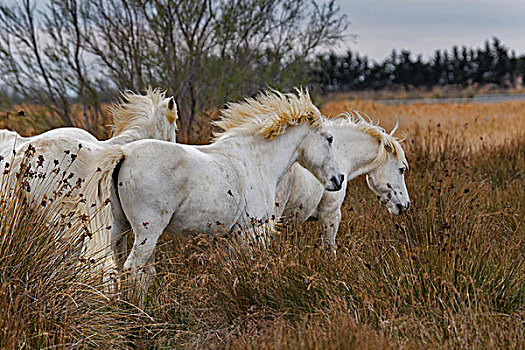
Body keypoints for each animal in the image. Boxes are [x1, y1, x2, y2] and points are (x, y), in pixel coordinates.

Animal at [84, 89, 346, 292]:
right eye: (329, 138)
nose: (339, 179)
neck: (255, 159)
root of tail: (124, 153)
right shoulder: (249, 232)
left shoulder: (231, 236)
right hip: (147, 232)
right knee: (133, 269)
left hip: (120, 228)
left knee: (119, 268)